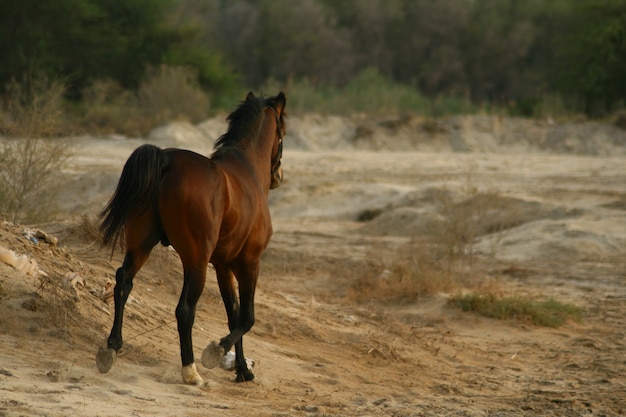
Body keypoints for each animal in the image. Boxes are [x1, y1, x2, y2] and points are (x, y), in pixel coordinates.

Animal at [94, 90, 286, 384]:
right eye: (283, 132)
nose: (278, 176)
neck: (247, 173)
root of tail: (166, 160)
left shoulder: (223, 266)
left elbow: (233, 315)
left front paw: (242, 370)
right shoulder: (249, 263)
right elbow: (246, 318)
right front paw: (217, 352)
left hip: (141, 245)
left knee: (123, 283)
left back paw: (111, 348)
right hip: (196, 261)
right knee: (184, 310)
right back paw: (191, 371)